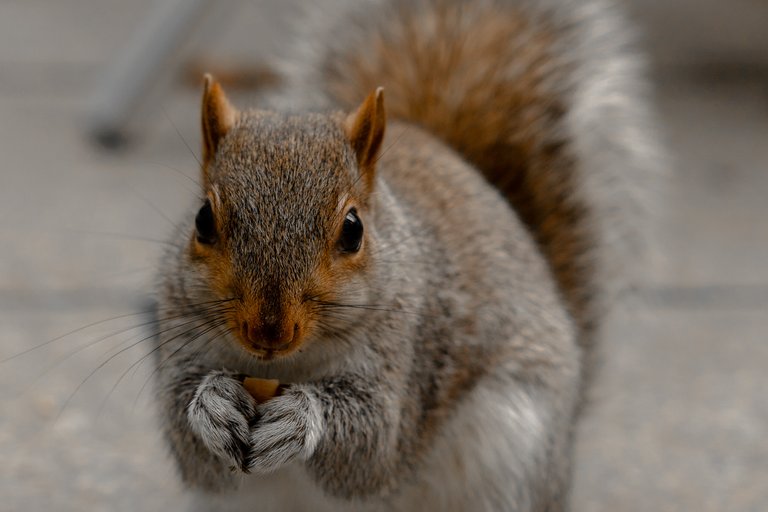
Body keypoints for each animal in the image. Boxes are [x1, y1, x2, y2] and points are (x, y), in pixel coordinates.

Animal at [152, 0, 660, 510]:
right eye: (202, 220)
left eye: (353, 230)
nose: (268, 332)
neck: (285, 367)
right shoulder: (180, 333)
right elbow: (189, 439)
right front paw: (213, 404)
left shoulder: (412, 353)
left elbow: (373, 447)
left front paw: (299, 418)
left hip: (514, 452)